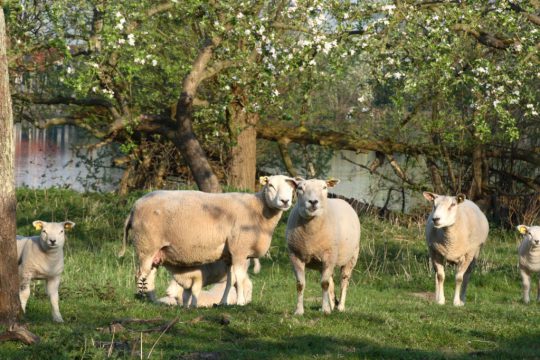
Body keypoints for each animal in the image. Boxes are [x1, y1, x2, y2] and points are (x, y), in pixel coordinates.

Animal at [121, 176, 298, 306]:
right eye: (271, 185)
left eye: (291, 188)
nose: (285, 201)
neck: (258, 211)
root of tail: (135, 206)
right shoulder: (239, 250)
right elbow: (239, 278)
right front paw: (240, 302)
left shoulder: (229, 255)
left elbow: (230, 280)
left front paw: (224, 303)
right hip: (146, 245)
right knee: (141, 275)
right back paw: (144, 298)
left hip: (155, 251)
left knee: (149, 275)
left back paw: (154, 300)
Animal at [284, 179, 360, 314]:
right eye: (300, 188)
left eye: (324, 187)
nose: (313, 202)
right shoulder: (295, 256)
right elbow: (300, 284)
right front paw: (299, 311)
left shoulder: (329, 256)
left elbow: (324, 284)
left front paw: (325, 310)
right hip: (324, 263)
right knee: (331, 282)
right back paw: (331, 305)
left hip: (352, 256)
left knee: (344, 280)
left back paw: (340, 307)